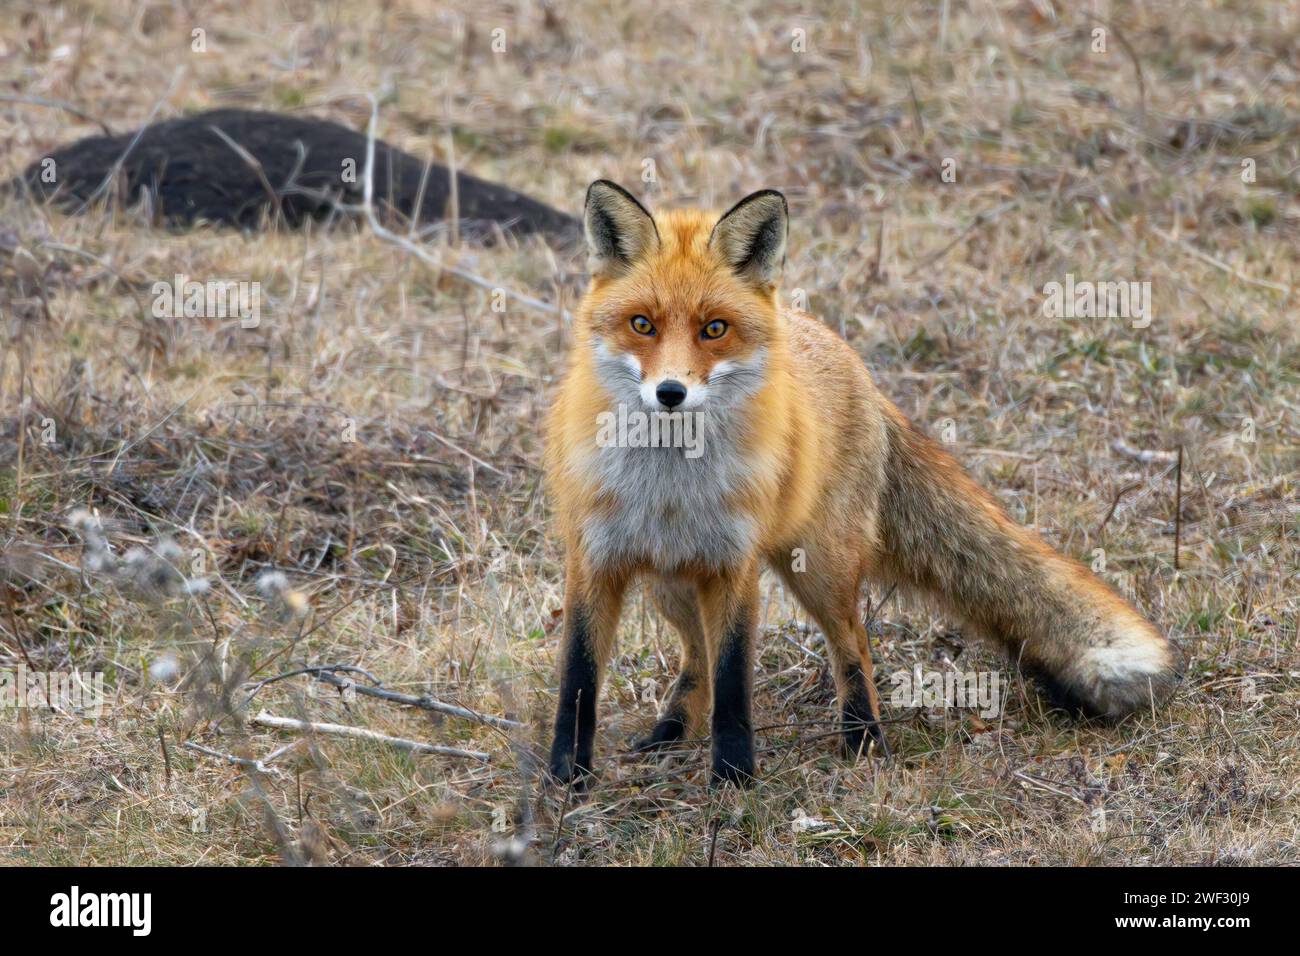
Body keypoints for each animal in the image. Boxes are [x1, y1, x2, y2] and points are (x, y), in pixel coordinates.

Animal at [543, 179, 1185, 785]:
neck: (668, 486)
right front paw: (565, 780)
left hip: (818, 567)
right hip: (671, 581)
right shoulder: (593, 560)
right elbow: (580, 678)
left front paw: (732, 781)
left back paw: (863, 736)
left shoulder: (734, 566)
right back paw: (673, 729)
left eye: (715, 329)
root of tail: (852, 360)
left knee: (854, 644)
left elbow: (734, 686)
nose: (671, 393)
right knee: (696, 655)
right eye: (642, 324)